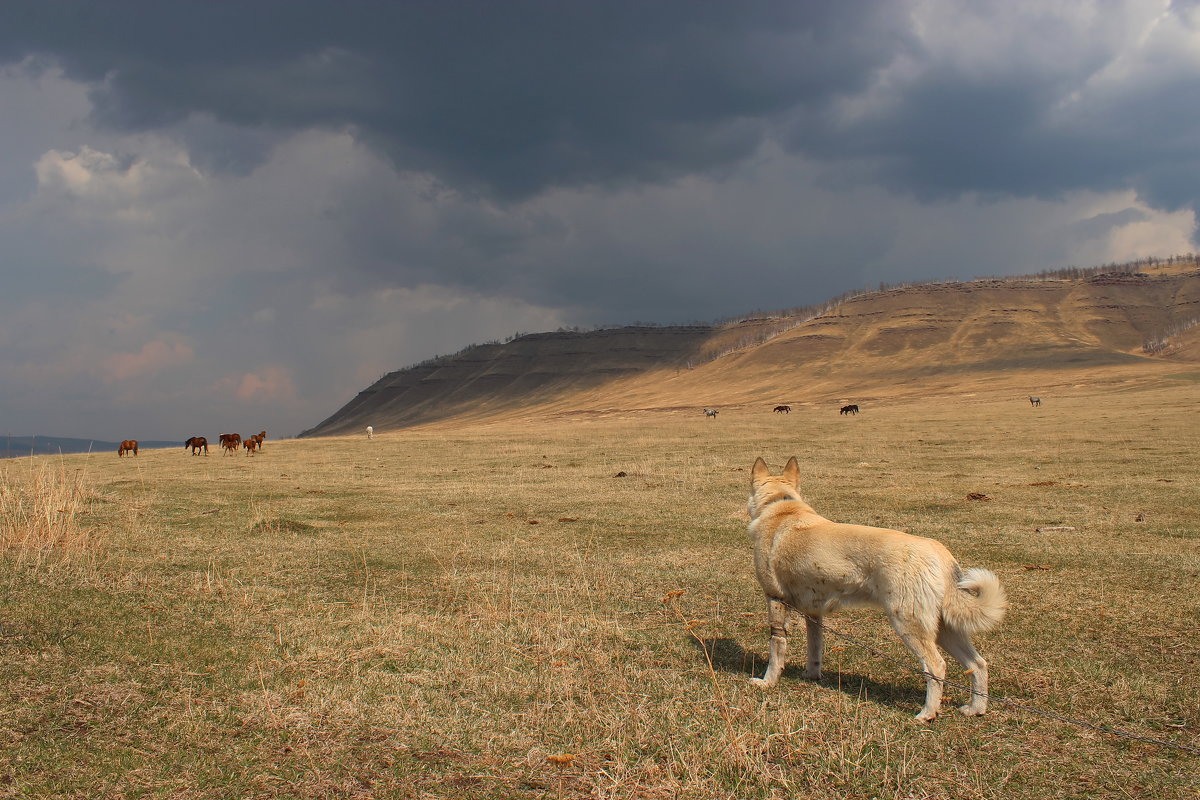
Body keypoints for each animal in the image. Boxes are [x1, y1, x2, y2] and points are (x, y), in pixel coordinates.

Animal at [744, 453, 1008, 724]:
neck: (781, 506)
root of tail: (938, 551)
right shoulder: (814, 613)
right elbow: (815, 648)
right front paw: (811, 676)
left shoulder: (775, 599)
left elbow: (776, 647)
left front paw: (767, 682)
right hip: (945, 629)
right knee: (978, 664)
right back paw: (976, 708)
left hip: (909, 625)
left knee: (936, 667)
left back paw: (927, 714)